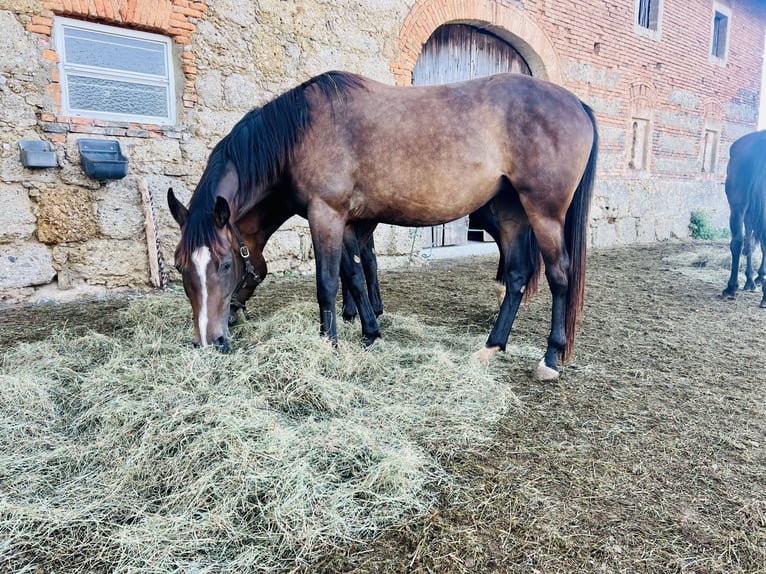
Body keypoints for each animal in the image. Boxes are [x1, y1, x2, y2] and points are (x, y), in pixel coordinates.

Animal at [168, 72, 600, 382]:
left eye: (226, 264)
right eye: (180, 266)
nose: (210, 341)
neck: (299, 133)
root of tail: (576, 103)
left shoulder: (326, 215)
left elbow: (328, 284)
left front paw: (329, 345)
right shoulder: (342, 222)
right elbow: (356, 277)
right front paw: (370, 333)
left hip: (543, 213)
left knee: (559, 277)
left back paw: (550, 358)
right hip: (511, 211)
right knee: (516, 277)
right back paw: (491, 347)